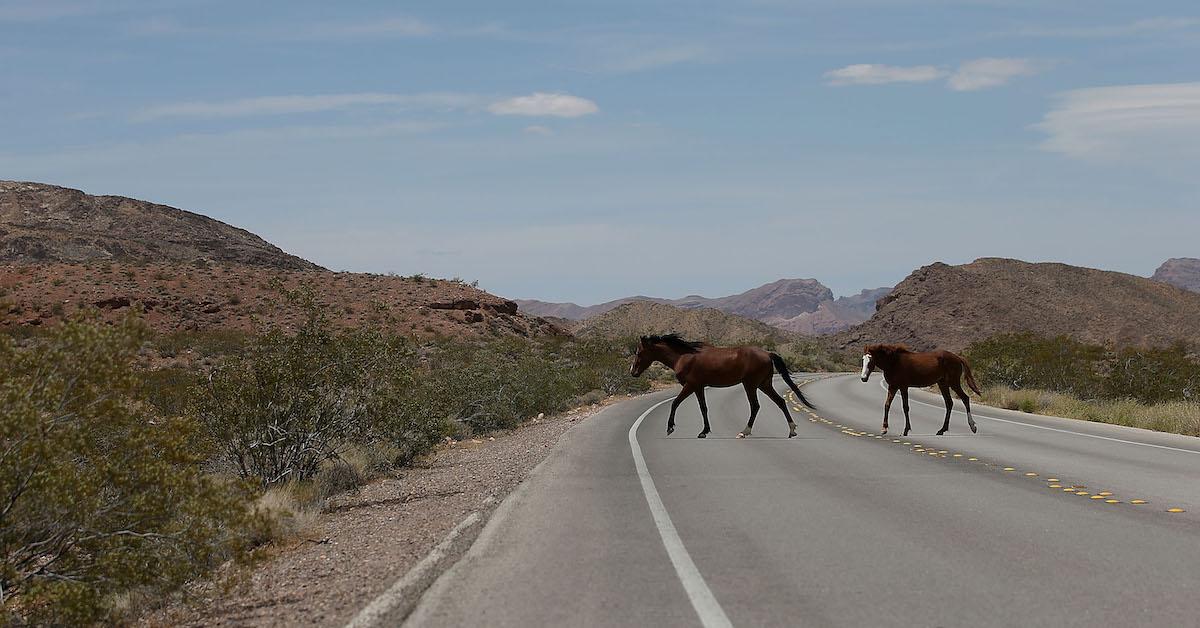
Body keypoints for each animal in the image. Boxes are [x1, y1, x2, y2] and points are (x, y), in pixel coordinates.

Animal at [628, 336, 816, 439]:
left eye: (639, 352)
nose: (633, 372)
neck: (684, 356)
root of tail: (768, 353)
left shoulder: (690, 385)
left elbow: (675, 403)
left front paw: (670, 428)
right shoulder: (698, 387)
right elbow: (703, 408)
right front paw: (704, 431)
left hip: (750, 385)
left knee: (755, 406)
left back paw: (744, 432)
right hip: (764, 384)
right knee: (780, 402)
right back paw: (792, 430)